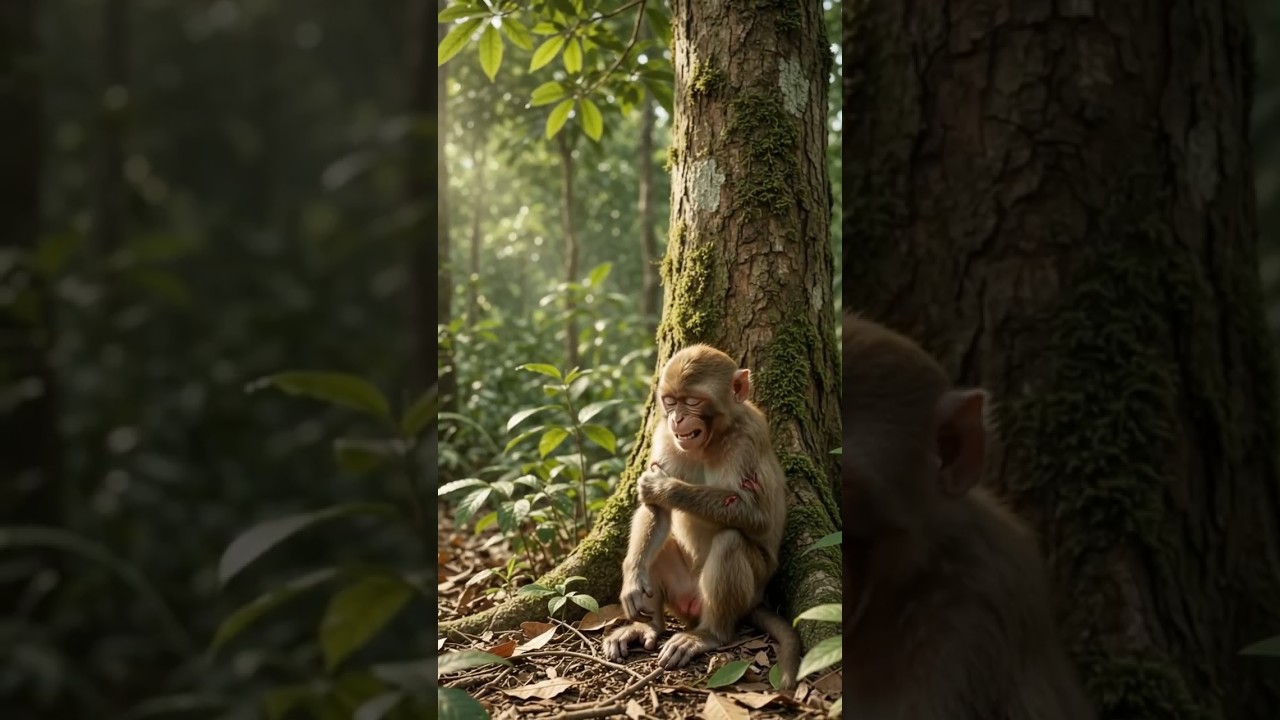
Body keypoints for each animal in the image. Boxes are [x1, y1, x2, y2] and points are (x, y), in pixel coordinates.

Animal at [601, 344, 801, 691]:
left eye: (693, 402)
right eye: (670, 402)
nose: (677, 418)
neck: (710, 442)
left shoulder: (748, 438)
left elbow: (758, 515)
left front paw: (664, 487)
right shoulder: (663, 435)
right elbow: (655, 511)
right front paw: (632, 578)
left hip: (750, 590)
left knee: (731, 541)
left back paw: (708, 635)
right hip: (681, 595)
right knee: (661, 547)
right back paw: (649, 627)